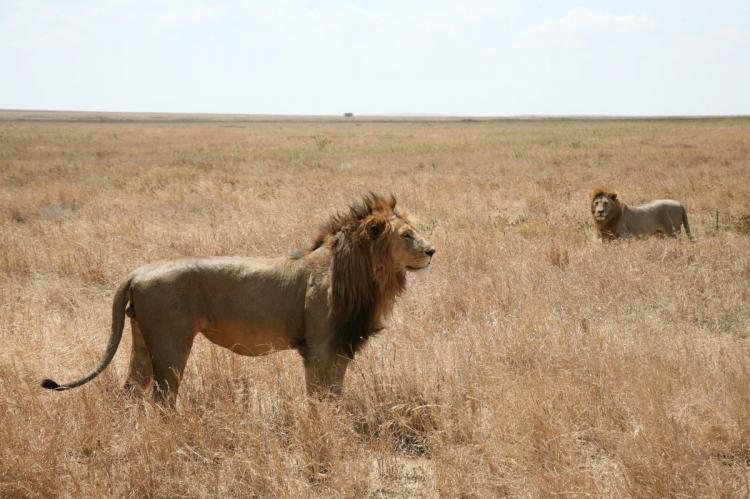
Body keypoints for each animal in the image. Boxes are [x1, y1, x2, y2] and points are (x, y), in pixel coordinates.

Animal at [42, 194, 434, 406]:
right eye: (407, 235)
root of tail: (138, 271)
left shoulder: (339, 347)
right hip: (171, 342)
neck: (363, 277)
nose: (432, 250)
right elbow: (318, 397)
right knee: (164, 397)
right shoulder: (320, 346)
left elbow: (334, 395)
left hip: (140, 339)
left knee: (132, 392)